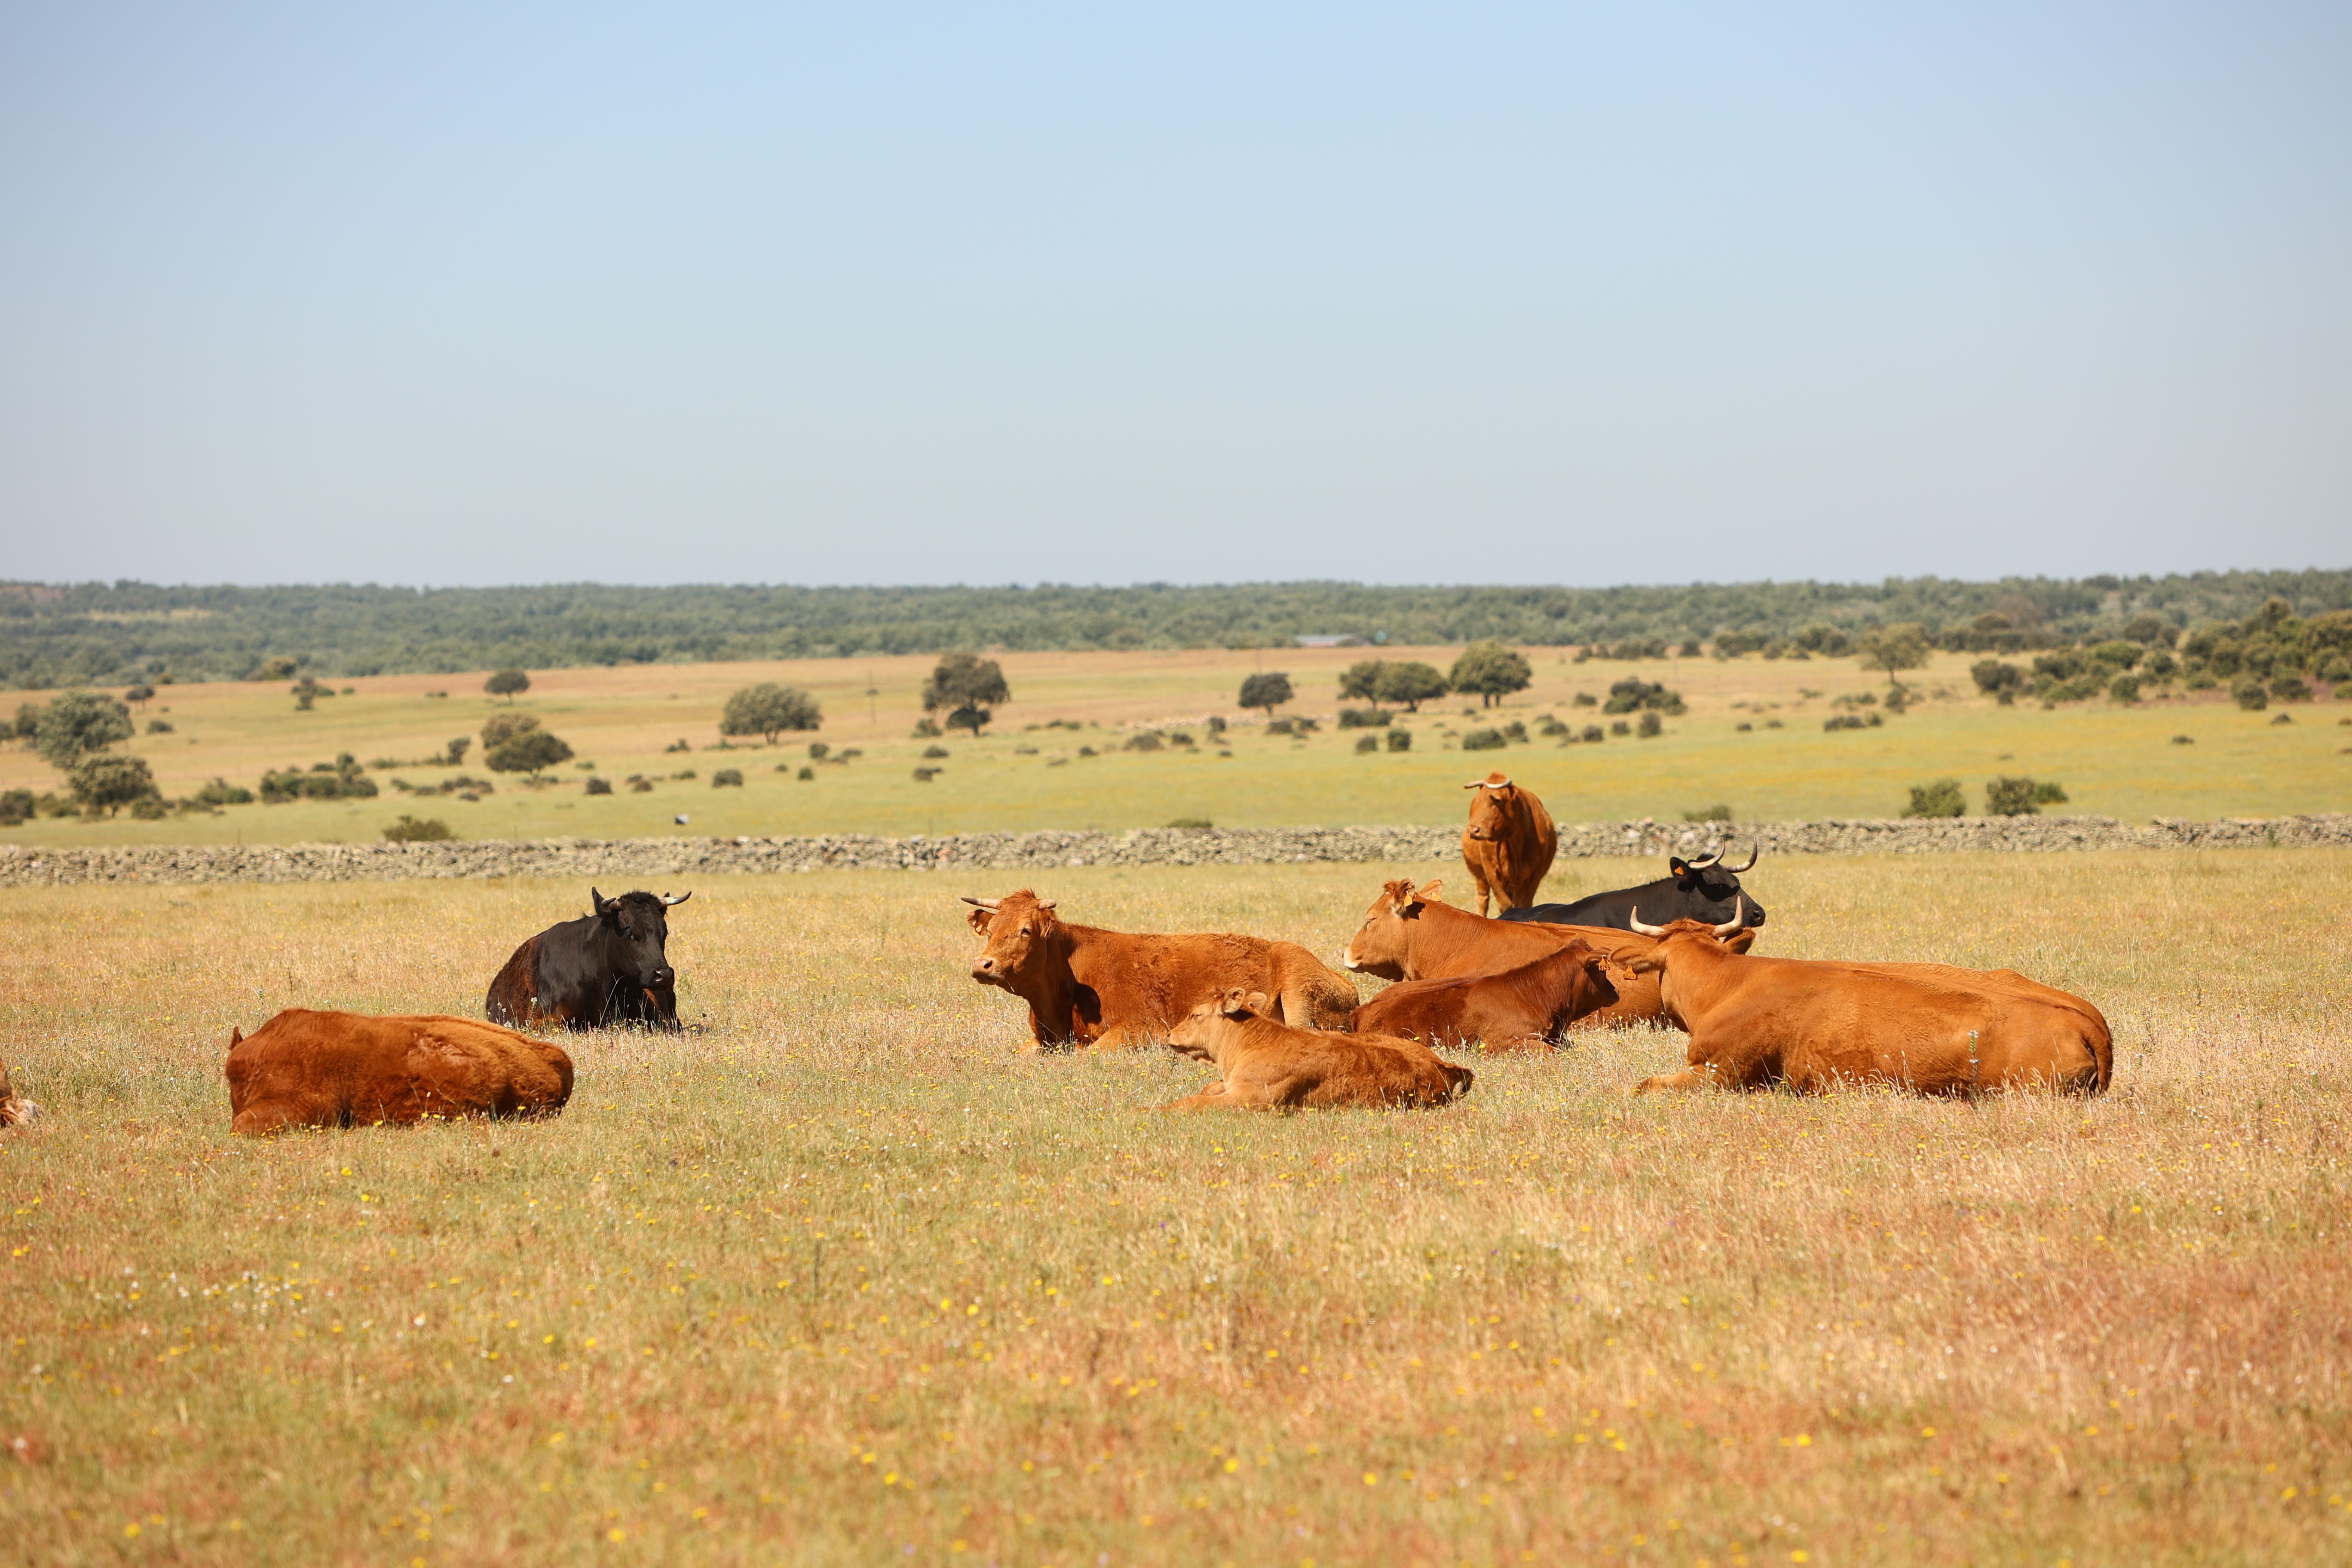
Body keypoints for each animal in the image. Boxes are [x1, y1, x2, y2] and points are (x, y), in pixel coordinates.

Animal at [1161, 988, 1473, 1111]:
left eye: (1195, 1015)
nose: (1169, 1034)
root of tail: (1445, 1067)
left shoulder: (1251, 1098)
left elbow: (1194, 1102)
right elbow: (1208, 1089)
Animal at [1461, 773, 1557, 915]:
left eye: (1497, 800)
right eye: (1477, 801)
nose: (1474, 830)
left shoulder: (1535, 874)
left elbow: (1523, 904)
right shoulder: (1491, 871)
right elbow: (1505, 904)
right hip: (1480, 876)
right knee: (1483, 899)